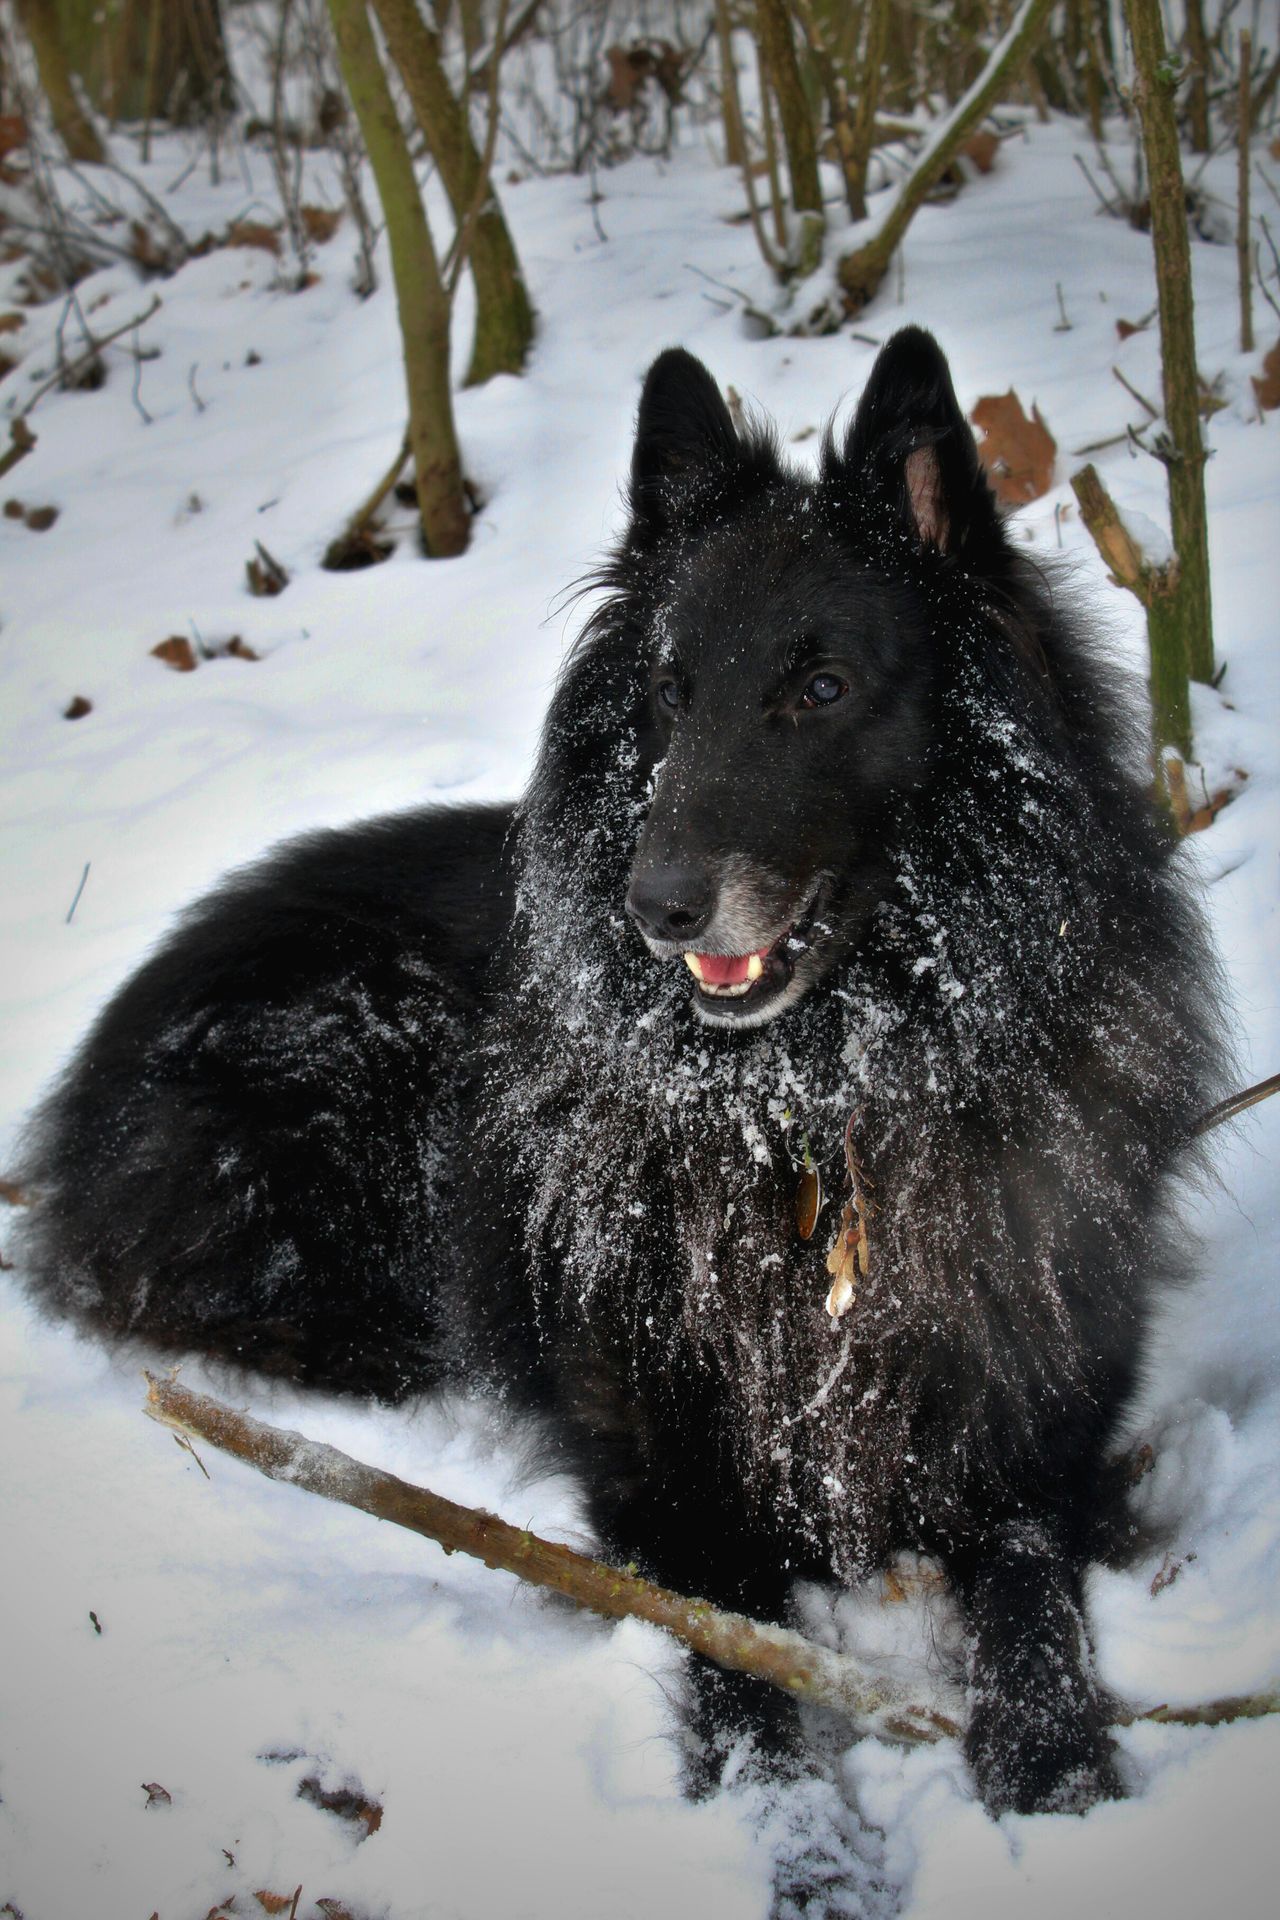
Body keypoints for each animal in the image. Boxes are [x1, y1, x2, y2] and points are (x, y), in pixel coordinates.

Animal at [17, 330, 1220, 1812]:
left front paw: (1048, 1751)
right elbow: (739, 1664)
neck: (813, 1108)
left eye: (820, 688)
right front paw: (783, 1806)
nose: (659, 908)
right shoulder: (668, 1474)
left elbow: (1029, 1583)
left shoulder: (1038, 1427)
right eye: (667, 692)